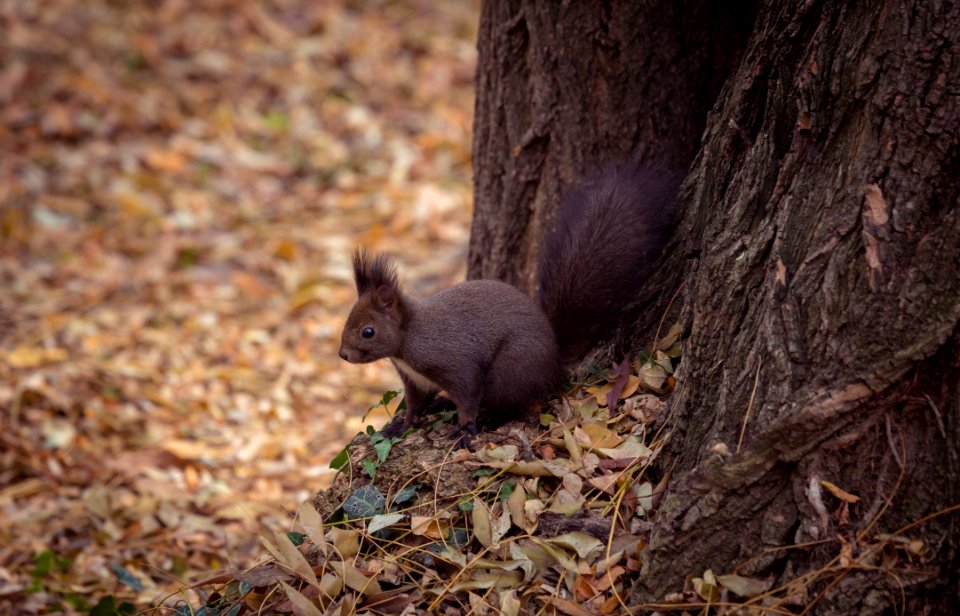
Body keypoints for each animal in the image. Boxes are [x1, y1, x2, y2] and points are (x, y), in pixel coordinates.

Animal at [342, 161, 680, 446]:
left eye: (368, 331)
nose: (343, 355)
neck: (409, 337)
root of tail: (555, 361)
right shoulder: (415, 381)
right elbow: (415, 406)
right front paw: (402, 425)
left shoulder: (454, 363)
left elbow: (467, 396)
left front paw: (465, 428)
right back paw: (445, 403)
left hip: (510, 369)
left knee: (511, 405)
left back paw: (488, 419)